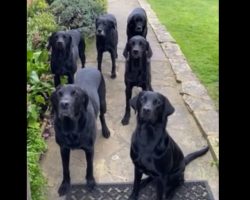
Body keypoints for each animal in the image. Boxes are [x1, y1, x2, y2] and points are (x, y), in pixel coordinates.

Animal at [50, 67, 110, 195]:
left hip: (103, 102)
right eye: (59, 93)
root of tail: (91, 67)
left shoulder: (89, 149)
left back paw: (106, 131)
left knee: (102, 115)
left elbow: (90, 166)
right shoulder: (63, 149)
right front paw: (65, 184)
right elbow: (65, 168)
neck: (71, 128)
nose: (64, 104)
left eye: (75, 93)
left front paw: (90, 182)